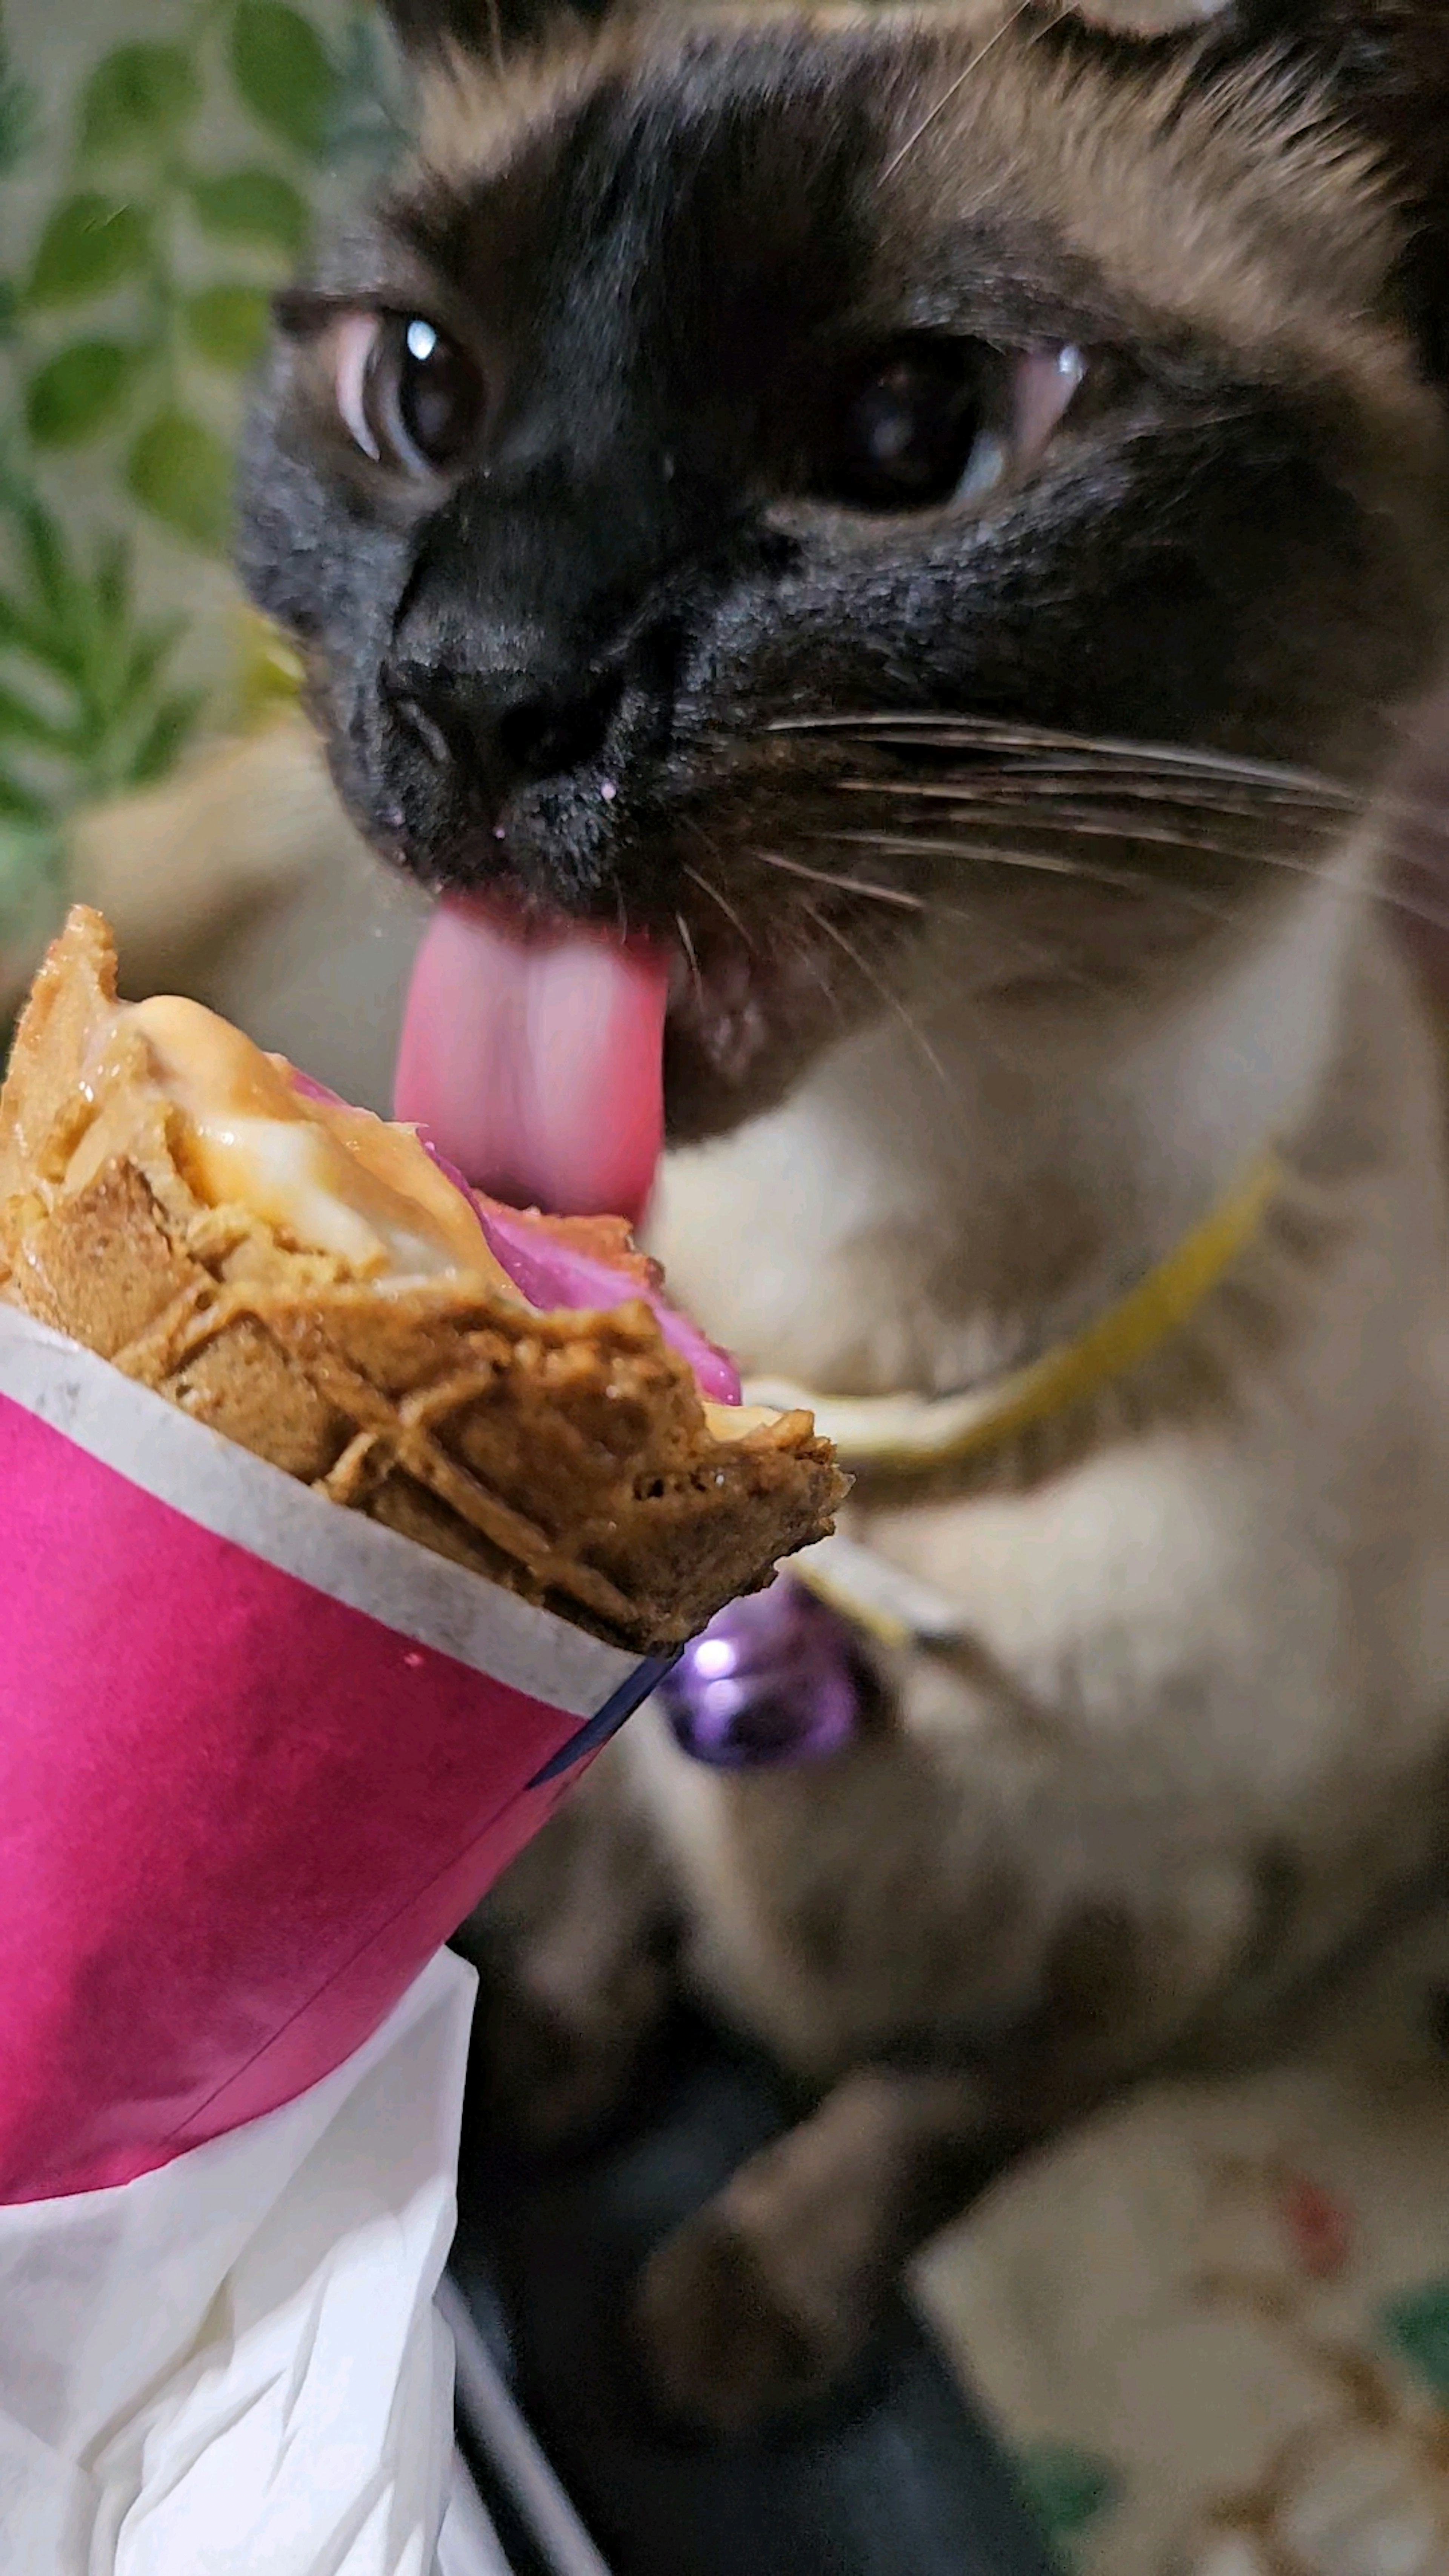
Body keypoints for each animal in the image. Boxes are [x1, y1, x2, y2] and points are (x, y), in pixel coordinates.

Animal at [240, 0, 1449, 2431]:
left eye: (913, 433)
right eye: (420, 393)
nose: (475, 684)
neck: (856, 1326)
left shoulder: (1185, 1929)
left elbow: (923, 2111)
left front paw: (729, 2315)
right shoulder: (613, 1728)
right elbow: (609, 1880)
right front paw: (546, 2065)